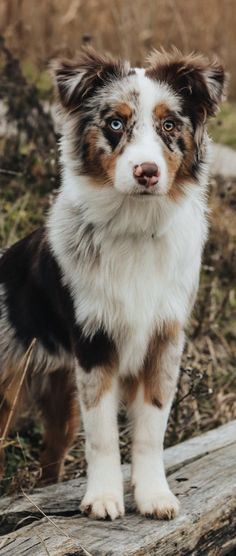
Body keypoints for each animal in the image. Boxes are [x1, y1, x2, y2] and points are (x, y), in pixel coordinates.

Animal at [0, 48, 227, 520]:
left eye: (169, 125)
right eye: (116, 123)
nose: (147, 172)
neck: (135, 226)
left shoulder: (164, 340)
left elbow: (152, 429)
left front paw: (154, 495)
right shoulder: (94, 345)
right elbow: (103, 434)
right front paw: (103, 498)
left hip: (61, 400)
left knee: (52, 454)